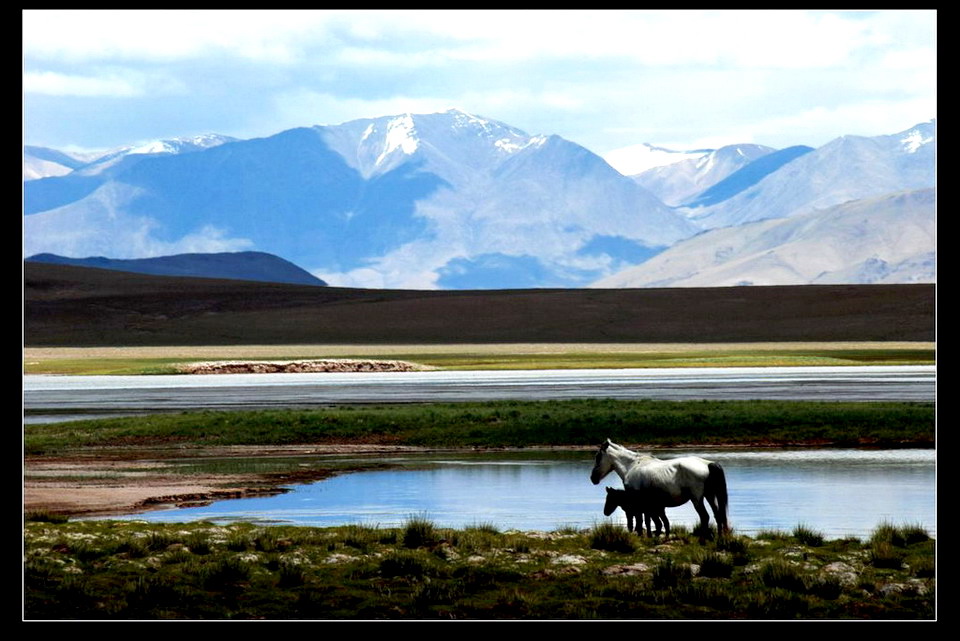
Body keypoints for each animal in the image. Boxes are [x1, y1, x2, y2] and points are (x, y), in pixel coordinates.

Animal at [588, 436, 732, 536]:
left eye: (598, 456)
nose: (593, 478)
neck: (632, 465)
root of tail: (708, 464)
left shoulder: (637, 502)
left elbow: (639, 520)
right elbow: (647, 520)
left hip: (697, 499)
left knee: (705, 517)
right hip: (710, 496)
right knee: (718, 515)